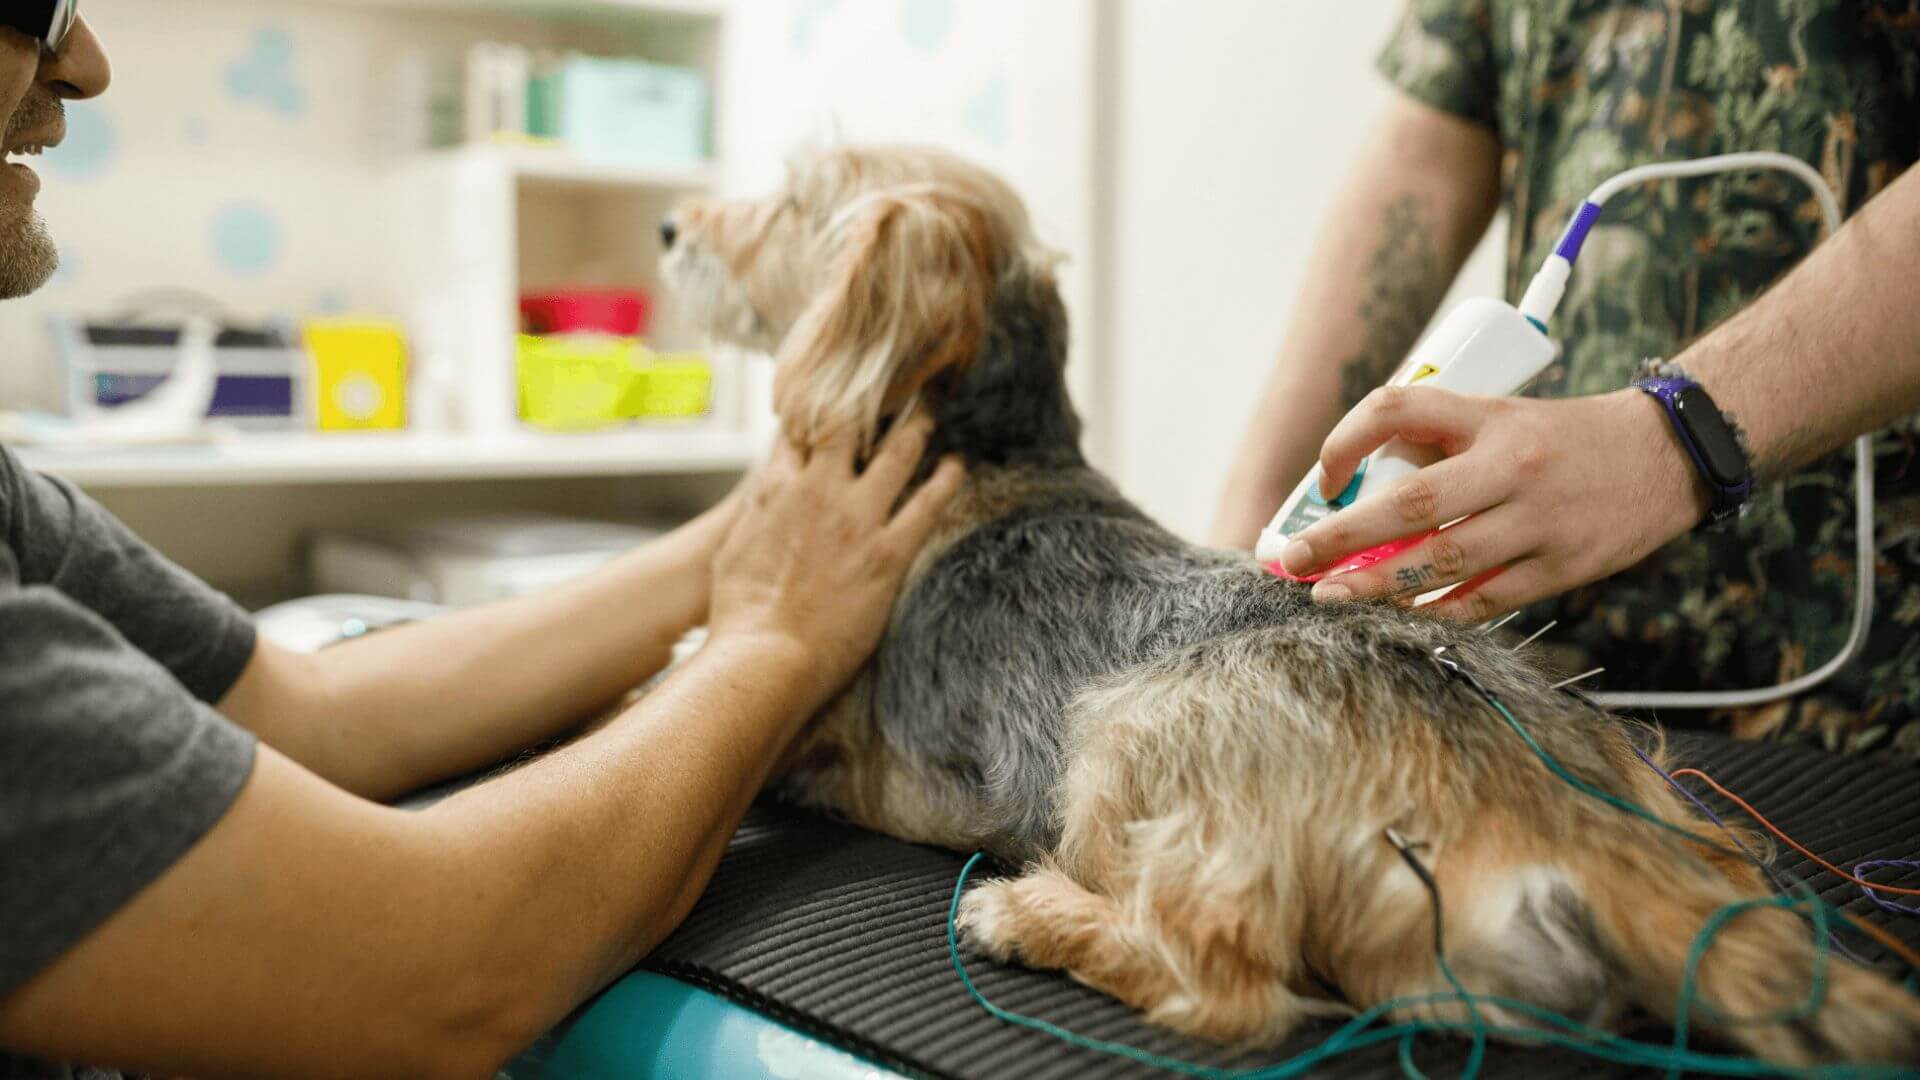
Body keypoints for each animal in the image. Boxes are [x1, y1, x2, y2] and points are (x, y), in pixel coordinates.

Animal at [660, 147, 1920, 1060]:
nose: (670, 227)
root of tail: (1567, 820)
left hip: (1123, 739)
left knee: (1229, 990)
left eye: (790, 200)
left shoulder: (827, 728)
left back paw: (1029, 917)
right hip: (1672, 804)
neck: (997, 447)